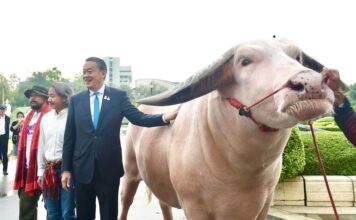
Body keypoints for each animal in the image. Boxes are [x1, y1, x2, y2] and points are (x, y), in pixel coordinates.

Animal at [118, 38, 336, 219]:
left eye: (297, 56)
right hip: (130, 172)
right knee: (125, 200)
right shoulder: (194, 207)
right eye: (245, 61)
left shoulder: (263, 204)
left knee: (164, 205)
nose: (312, 83)